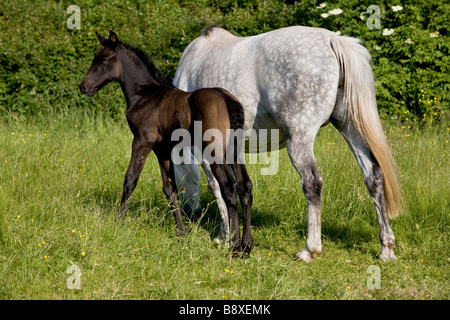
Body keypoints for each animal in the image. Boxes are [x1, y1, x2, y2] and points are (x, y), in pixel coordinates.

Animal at [80, 31, 253, 254]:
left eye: (105, 59)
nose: (83, 86)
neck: (144, 94)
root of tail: (227, 99)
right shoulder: (162, 150)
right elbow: (170, 189)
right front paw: (181, 233)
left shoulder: (142, 141)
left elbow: (130, 180)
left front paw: (118, 221)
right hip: (234, 150)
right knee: (244, 186)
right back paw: (246, 244)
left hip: (214, 151)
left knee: (229, 189)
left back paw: (233, 245)